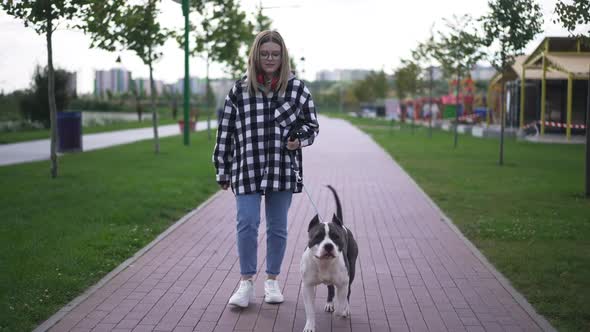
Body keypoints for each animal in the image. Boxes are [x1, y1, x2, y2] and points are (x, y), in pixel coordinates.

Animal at [302, 185, 358, 330]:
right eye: (317, 236)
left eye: (336, 236)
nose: (328, 246)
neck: (324, 263)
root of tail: (342, 225)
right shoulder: (307, 286)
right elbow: (309, 310)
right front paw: (309, 326)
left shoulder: (343, 283)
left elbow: (341, 302)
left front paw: (340, 310)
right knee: (331, 288)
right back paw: (329, 303)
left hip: (352, 271)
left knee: (348, 293)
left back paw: (345, 309)